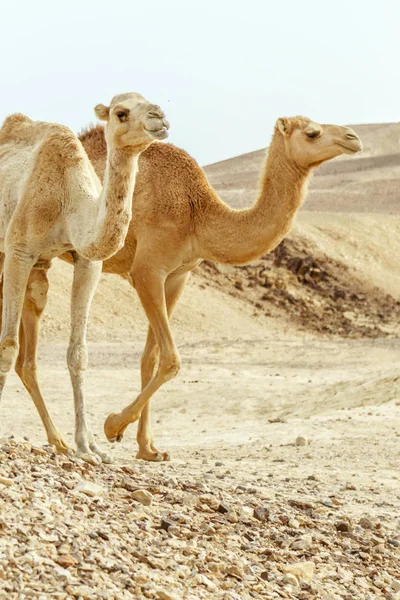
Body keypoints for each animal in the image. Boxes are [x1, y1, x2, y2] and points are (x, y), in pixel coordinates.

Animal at [0, 118, 362, 464]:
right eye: (313, 132)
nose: (353, 138)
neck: (196, 212)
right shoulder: (147, 271)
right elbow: (171, 359)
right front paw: (113, 425)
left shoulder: (178, 276)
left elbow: (151, 357)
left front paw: (148, 448)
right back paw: (61, 440)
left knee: (29, 345)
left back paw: (59, 441)